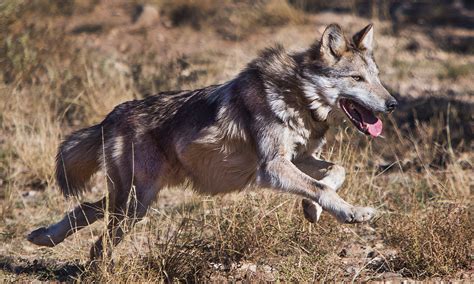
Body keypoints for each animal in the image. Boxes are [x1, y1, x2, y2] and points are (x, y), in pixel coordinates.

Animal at [25, 23, 396, 260]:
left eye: (377, 77)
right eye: (357, 78)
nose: (392, 104)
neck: (297, 96)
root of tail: (110, 117)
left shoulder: (298, 158)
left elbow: (335, 173)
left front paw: (312, 209)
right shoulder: (272, 168)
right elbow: (322, 186)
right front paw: (353, 213)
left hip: (134, 202)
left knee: (87, 210)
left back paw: (43, 237)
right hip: (134, 204)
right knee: (99, 238)